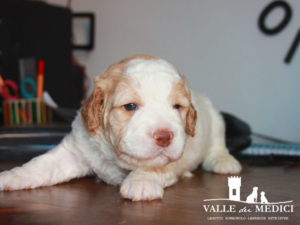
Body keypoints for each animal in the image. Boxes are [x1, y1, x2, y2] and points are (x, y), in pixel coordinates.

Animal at [0, 54, 241, 200]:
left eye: (177, 107)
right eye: (130, 106)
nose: (165, 136)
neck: (114, 157)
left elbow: (153, 165)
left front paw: (141, 181)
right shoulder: (75, 150)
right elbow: (41, 165)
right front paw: (10, 177)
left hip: (216, 120)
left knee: (217, 146)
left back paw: (224, 162)